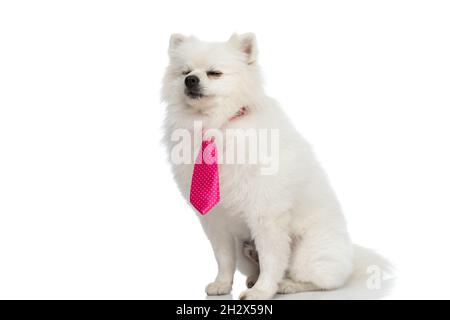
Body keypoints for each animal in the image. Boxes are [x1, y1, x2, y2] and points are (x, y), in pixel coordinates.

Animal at [162, 34, 356, 300]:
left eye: (214, 73)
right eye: (184, 72)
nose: (191, 80)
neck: (216, 125)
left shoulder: (266, 214)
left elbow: (271, 258)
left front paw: (263, 291)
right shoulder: (216, 220)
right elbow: (223, 258)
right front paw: (222, 285)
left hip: (308, 254)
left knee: (320, 280)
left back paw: (287, 285)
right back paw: (255, 278)